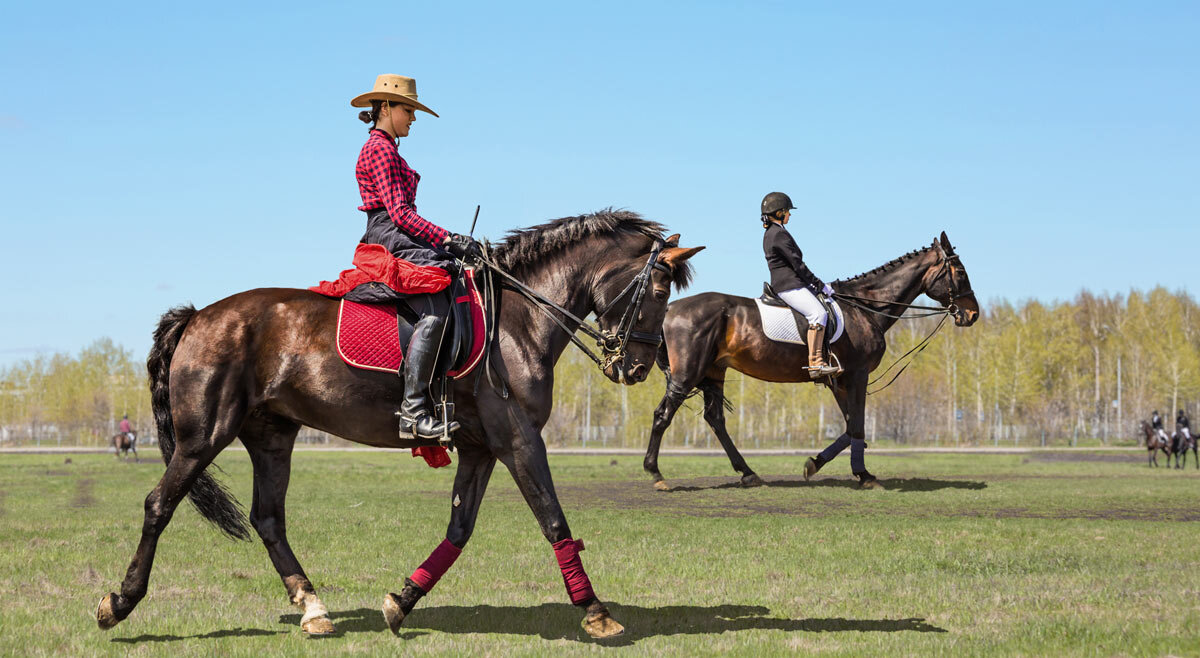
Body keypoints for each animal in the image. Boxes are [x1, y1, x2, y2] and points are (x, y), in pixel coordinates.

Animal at [98, 211, 705, 638]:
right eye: (657, 291)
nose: (638, 367)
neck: (519, 321)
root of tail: (199, 316)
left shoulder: (482, 447)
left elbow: (459, 530)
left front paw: (401, 601)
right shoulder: (518, 440)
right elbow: (553, 519)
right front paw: (596, 611)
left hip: (272, 436)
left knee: (268, 519)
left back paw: (313, 607)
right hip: (204, 436)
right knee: (159, 505)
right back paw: (119, 603)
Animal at [648, 231, 974, 487]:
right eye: (959, 272)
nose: (972, 314)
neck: (864, 308)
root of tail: (671, 309)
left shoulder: (839, 380)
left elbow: (849, 426)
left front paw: (817, 464)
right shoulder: (858, 375)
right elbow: (857, 425)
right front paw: (864, 475)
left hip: (714, 372)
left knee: (715, 419)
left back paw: (748, 473)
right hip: (687, 373)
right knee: (663, 415)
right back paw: (656, 474)